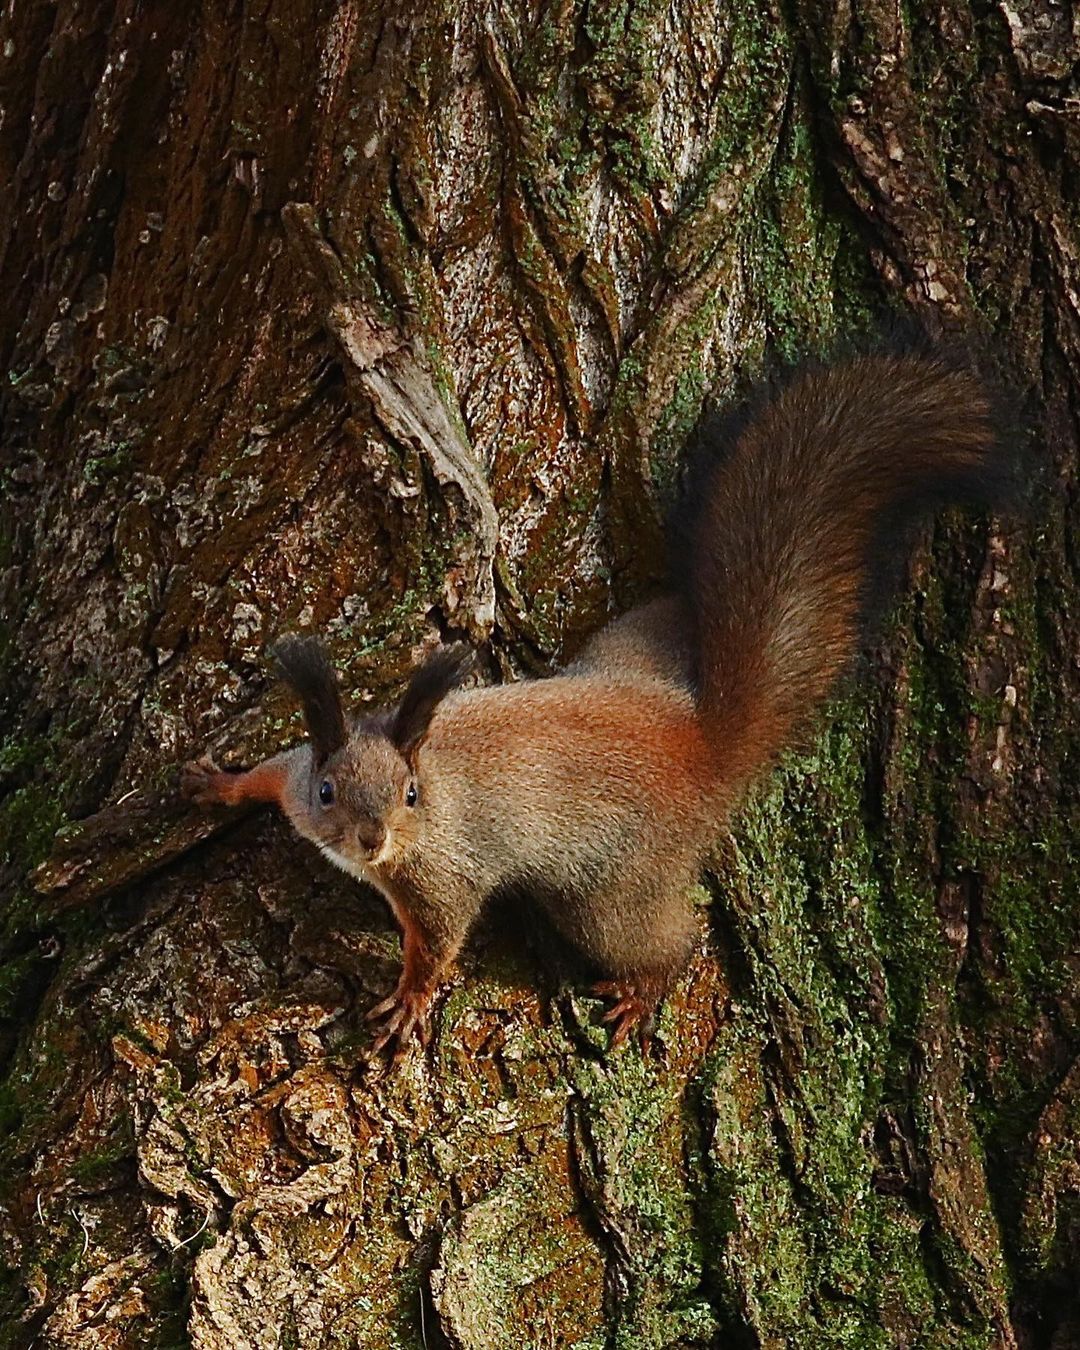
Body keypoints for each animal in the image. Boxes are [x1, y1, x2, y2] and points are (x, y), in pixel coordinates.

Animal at [181, 352, 1014, 1057]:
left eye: (410, 794)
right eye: (329, 792)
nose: (373, 840)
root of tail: (702, 743)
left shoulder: (442, 875)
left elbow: (441, 942)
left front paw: (412, 1000)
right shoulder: (298, 776)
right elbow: (266, 774)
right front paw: (214, 784)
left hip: (611, 889)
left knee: (669, 936)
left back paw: (645, 988)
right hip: (631, 643)